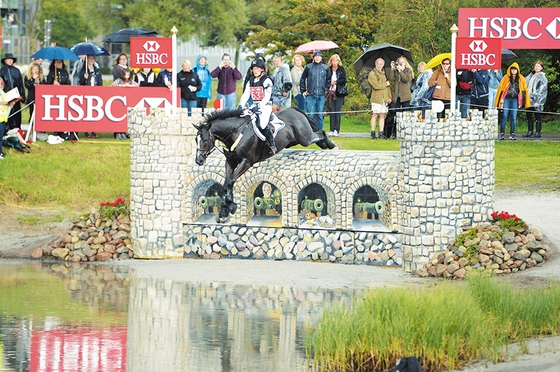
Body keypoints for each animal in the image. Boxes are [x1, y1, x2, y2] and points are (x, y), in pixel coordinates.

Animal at [195, 106, 334, 222]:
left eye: (205, 140)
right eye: (196, 139)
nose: (198, 160)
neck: (236, 133)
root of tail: (294, 110)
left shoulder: (247, 162)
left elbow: (230, 181)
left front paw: (230, 206)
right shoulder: (230, 162)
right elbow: (226, 184)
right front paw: (224, 210)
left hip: (305, 138)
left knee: (320, 133)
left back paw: (330, 144)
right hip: (293, 141)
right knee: (318, 135)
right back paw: (325, 145)